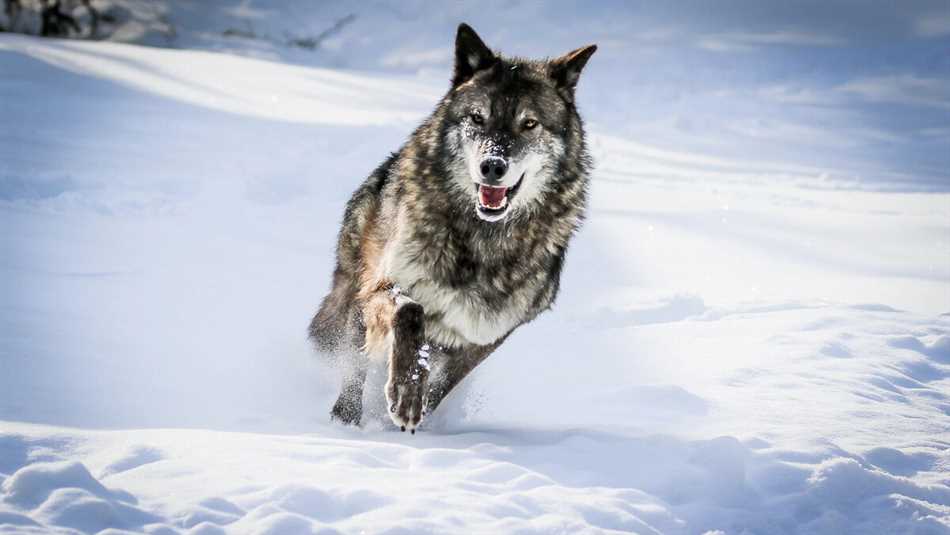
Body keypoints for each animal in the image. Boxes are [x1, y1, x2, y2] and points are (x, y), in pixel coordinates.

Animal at [310, 23, 596, 434]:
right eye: (477, 118)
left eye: (529, 124)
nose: (492, 166)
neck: (482, 243)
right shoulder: (381, 289)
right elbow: (410, 311)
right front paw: (406, 393)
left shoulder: (486, 333)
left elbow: (445, 383)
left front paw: (417, 407)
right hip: (356, 297)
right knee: (354, 364)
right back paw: (344, 422)